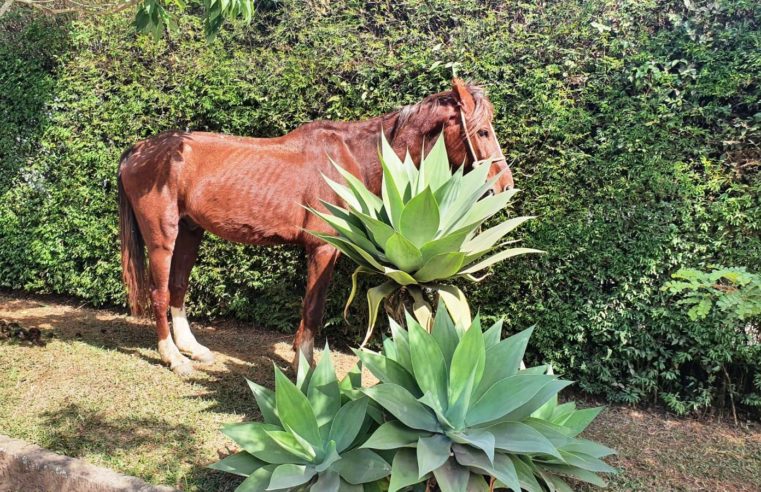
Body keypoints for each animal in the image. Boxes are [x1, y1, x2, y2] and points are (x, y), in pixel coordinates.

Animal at [117, 79, 514, 375]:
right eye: (482, 132)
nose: (505, 186)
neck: (350, 159)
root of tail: (139, 150)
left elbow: (309, 307)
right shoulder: (323, 249)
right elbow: (313, 309)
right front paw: (304, 367)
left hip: (190, 232)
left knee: (178, 288)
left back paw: (194, 350)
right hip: (163, 237)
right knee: (160, 292)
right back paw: (174, 358)